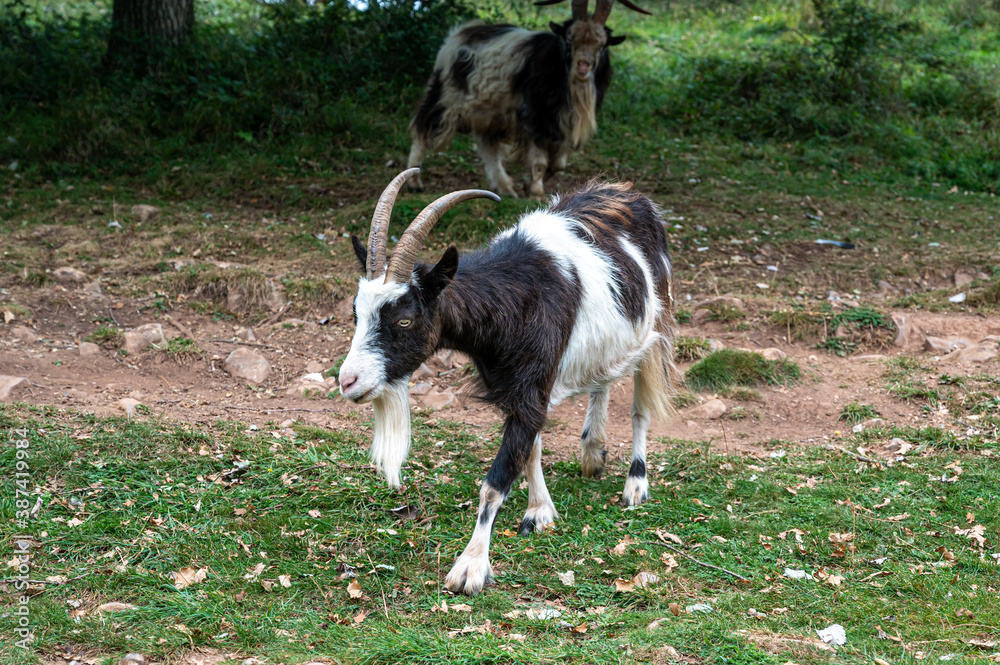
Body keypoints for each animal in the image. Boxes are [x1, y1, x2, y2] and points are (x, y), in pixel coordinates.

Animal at [339, 168, 678, 595]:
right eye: (356, 313)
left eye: (404, 319)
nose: (348, 381)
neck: (513, 297)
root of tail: (624, 191)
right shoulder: (517, 387)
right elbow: (530, 446)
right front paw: (540, 509)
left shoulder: (532, 384)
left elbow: (496, 481)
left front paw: (470, 567)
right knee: (602, 378)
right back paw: (592, 451)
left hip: (655, 324)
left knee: (640, 405)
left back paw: (635, 483)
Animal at [406, 0, 649, 199]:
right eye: (570, 39)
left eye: (601, 44)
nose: (583, 65)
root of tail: (459, 33)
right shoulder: (536, 117)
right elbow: (540, 161)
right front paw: (535, 190)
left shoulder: (565, 124)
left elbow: (559, 164)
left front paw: (527, 184)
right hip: (445, 95)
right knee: (424, 130)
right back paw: (414, 181)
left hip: (490, 112)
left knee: (488, 147)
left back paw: (505, 187)